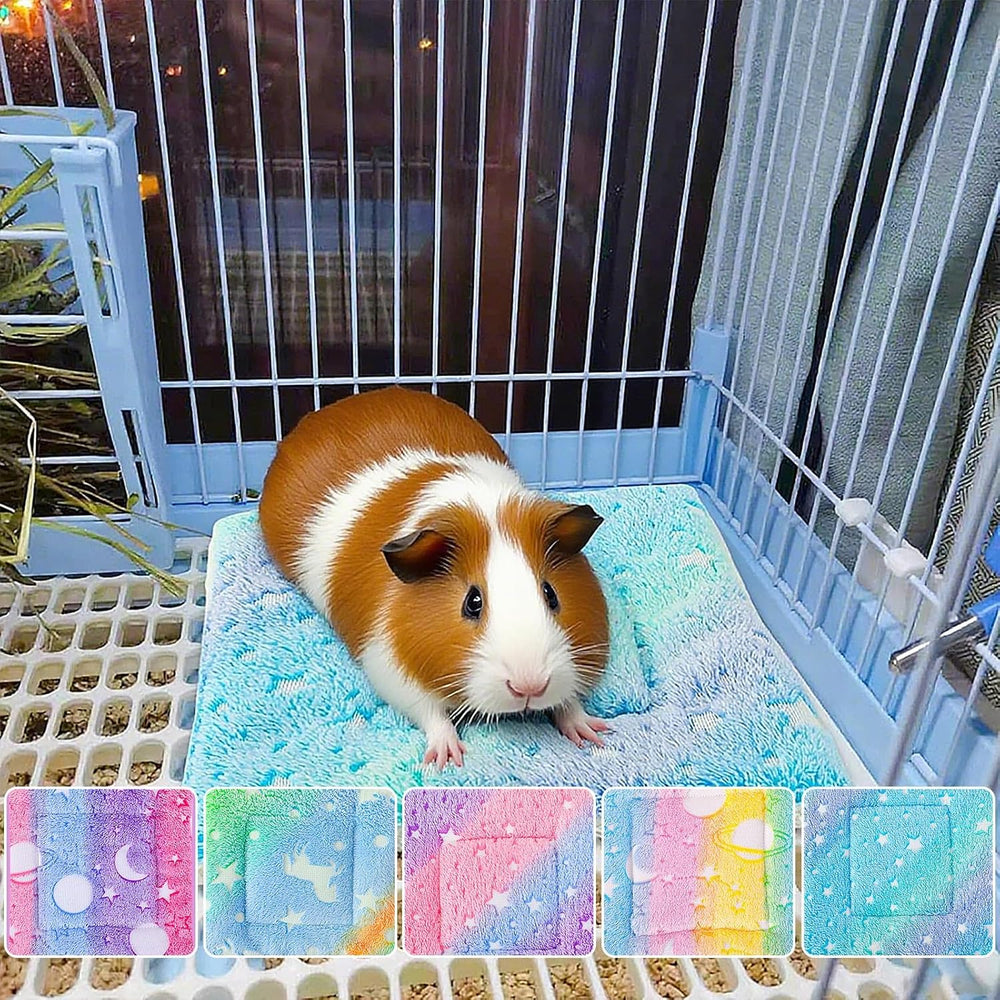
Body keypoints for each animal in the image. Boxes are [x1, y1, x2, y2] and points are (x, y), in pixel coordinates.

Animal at [259, 386, 610, 768]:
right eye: (472, 602)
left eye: (551, 594)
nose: (529, 687)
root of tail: (328, 412)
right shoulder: (387, 667)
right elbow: (430, 713)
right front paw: (446, 757)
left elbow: (569, 700)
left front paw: (592, 733)